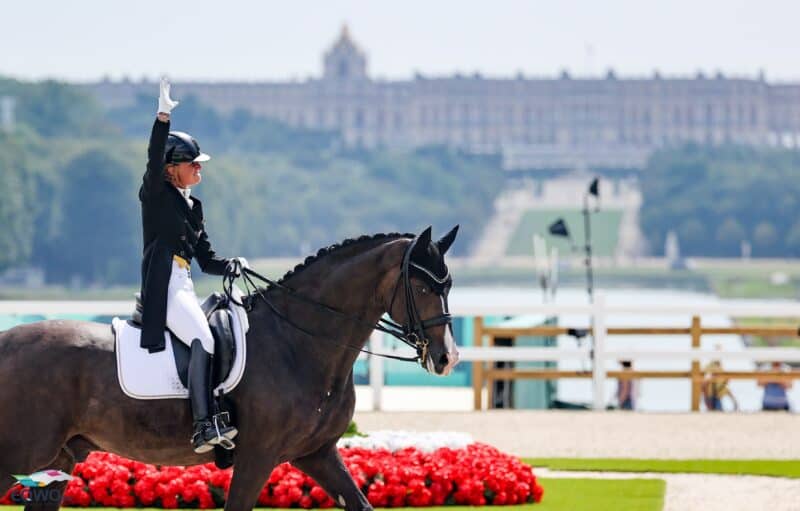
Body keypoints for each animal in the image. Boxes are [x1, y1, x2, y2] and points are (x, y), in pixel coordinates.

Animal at [0, 228, 456, 511]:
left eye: (447, 286)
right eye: (421, 287)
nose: (447, 357)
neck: (298, 343)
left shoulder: (317, 454)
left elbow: (359, 502)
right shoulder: (257, 456)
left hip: (58, 459)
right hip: (23, 453)